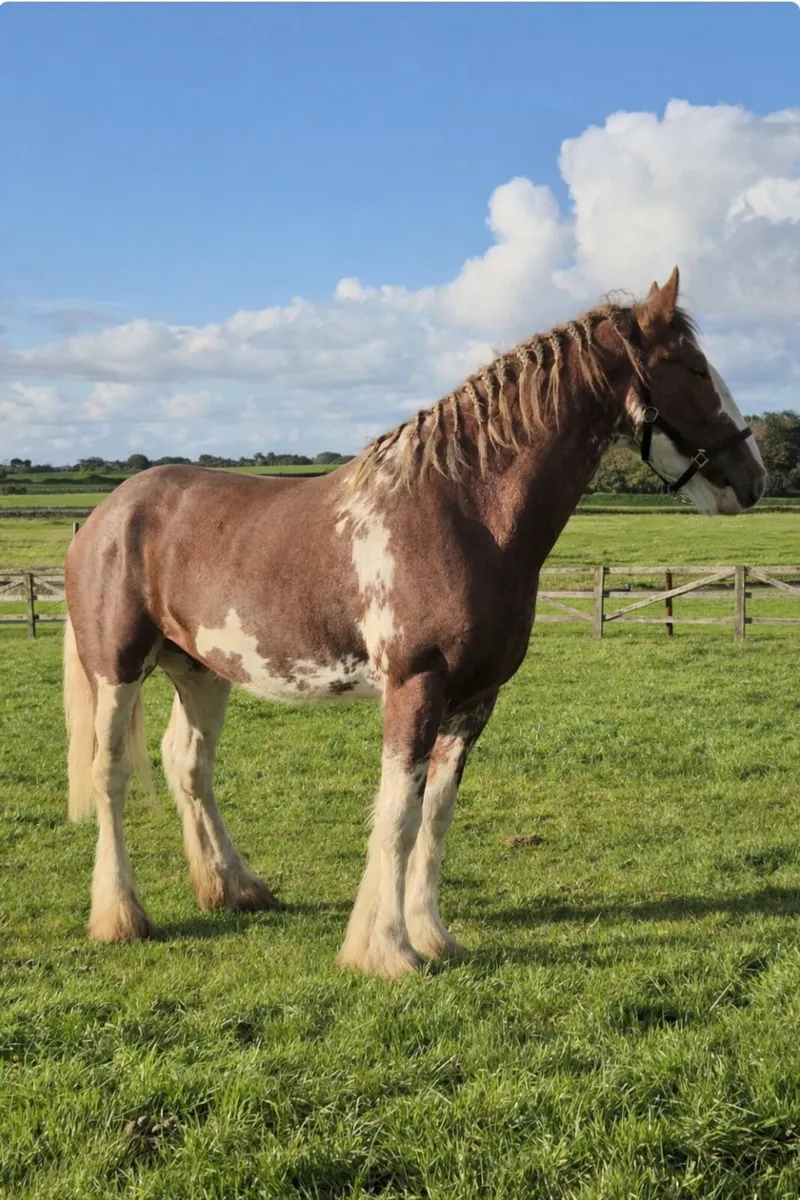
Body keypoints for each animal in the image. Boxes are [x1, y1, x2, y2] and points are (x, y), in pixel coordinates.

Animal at [63, 267, 766, 978]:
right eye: (693, 368)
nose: (754, 479)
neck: (461, 510)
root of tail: (105, 516)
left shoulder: (474, 699)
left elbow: (436, 818)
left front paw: (431, 935)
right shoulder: (415, 687)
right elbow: (398, 817)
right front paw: (386, 950)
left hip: (202, 672)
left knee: (189, 765)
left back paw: (233, 889)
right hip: (118, 670)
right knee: (110, 774)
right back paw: (121, 916)